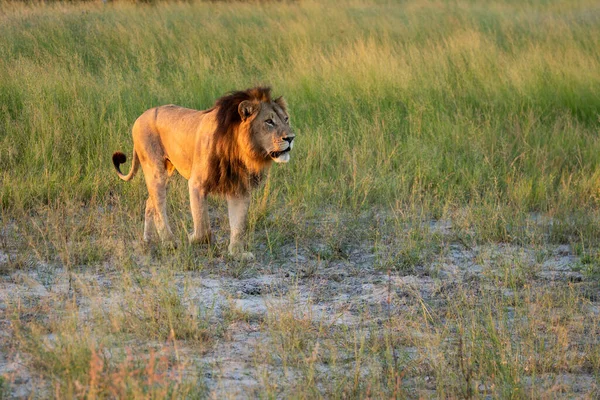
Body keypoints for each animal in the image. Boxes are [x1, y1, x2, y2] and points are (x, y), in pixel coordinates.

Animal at [113, 87, 296, 260]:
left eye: (286, 119)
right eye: (269, 121)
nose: (291, 138)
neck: (239, 150)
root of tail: (140, 116)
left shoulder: (240, 188)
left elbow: (239, 225)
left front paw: (237, 253)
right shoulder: (197, 184)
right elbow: (203, 228)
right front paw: (191, 237)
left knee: (149, 202)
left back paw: (148, 239)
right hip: (155, 170)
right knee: (158, 206)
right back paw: (170, 242)